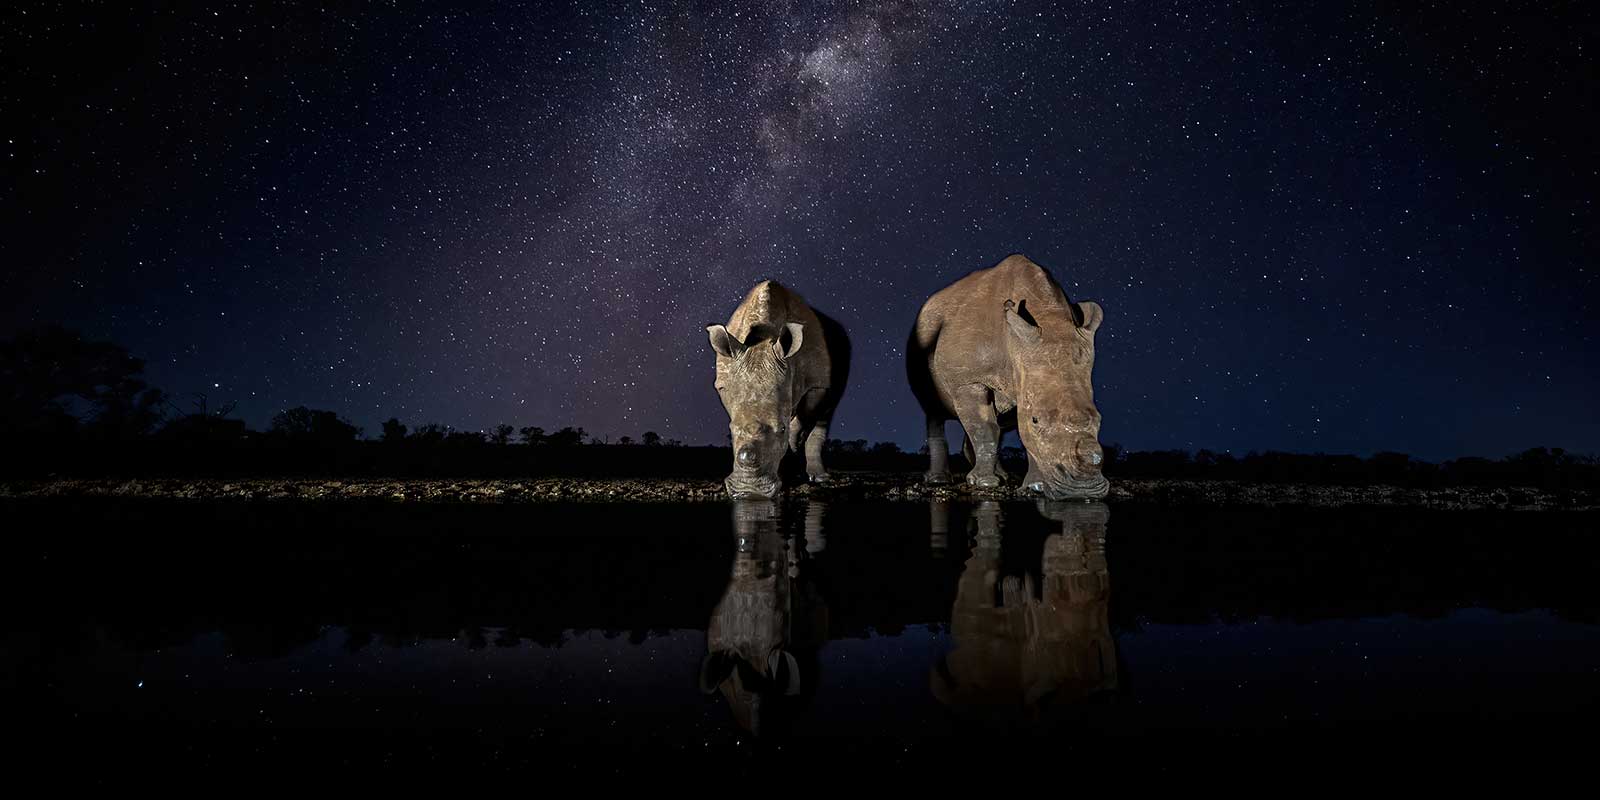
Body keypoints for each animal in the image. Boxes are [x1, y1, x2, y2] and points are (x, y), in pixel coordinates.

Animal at [706, 280, 849, 499]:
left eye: (781, 429)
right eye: (730, 429)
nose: (750, 492)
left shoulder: (817, 384)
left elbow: (802, 423)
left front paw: (791, 465)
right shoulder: (724, 383)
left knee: (825, 413)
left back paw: (819, 478)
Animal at [906, 253, 1108, 499]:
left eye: (1099, 419)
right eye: (1036, 419)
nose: (1082, 491)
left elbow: (1014, 429)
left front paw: (1034, 486)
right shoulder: (968, 380)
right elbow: (986, 428)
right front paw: (985, 484)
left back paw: (1002, 476)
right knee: (933, 411)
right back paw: (940, 480)